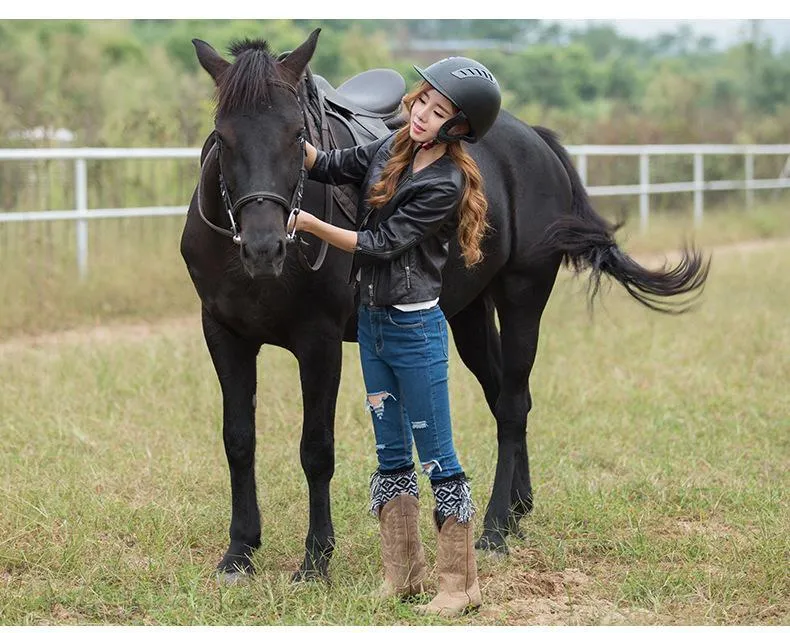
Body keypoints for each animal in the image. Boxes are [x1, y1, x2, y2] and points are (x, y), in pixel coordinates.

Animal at [181, 29, 712, 584]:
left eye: (294, 135)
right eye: (222, 136)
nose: (264, 248)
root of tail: (534, 140)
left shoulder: (319, 343)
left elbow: (316, 450)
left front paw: (315, 560)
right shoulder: (224, 335)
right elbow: (238, 440)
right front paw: (239, 551)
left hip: (522, 298)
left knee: (512, 403)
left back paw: (496, 529)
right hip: (468, 313)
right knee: (505, 394)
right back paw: (518, 509)